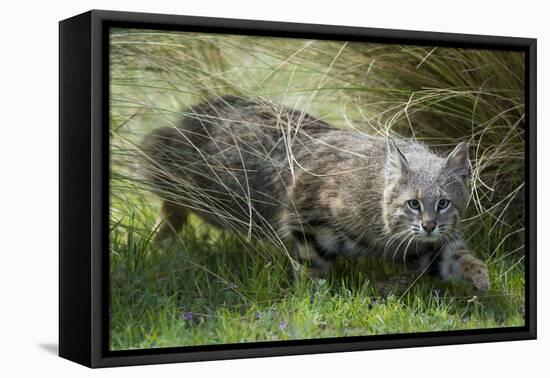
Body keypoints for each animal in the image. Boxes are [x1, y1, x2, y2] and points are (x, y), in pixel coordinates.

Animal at [142, 96, 492, 290]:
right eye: (413, 204)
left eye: (444, 203)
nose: (430, 225)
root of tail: (199, 107)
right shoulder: (304, 215)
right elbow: (313, 266)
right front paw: (311, 299)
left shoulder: (421, 247)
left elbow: (458, 257)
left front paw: (480, 277)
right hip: (201, 186)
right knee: (160, 174)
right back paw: (162, 236)